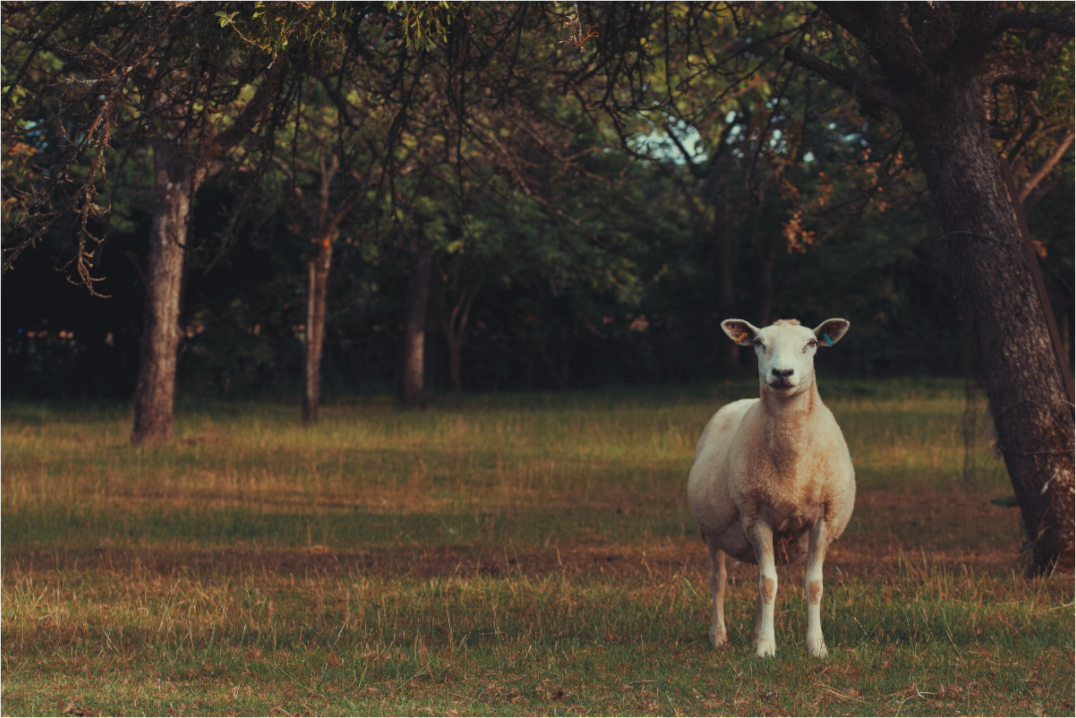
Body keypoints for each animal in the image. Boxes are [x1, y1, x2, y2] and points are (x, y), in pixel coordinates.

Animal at [687, 317, 855, 658]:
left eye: (811, 343)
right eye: (759, 343)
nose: (782, 373)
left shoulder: (824, 519)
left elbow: (812, 584)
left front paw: (817, 647)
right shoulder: (755, 516)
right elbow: (768, 584)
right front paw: (766, 649)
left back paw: (752, 634)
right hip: (711, 531)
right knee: (718, 579)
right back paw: (718, 636)